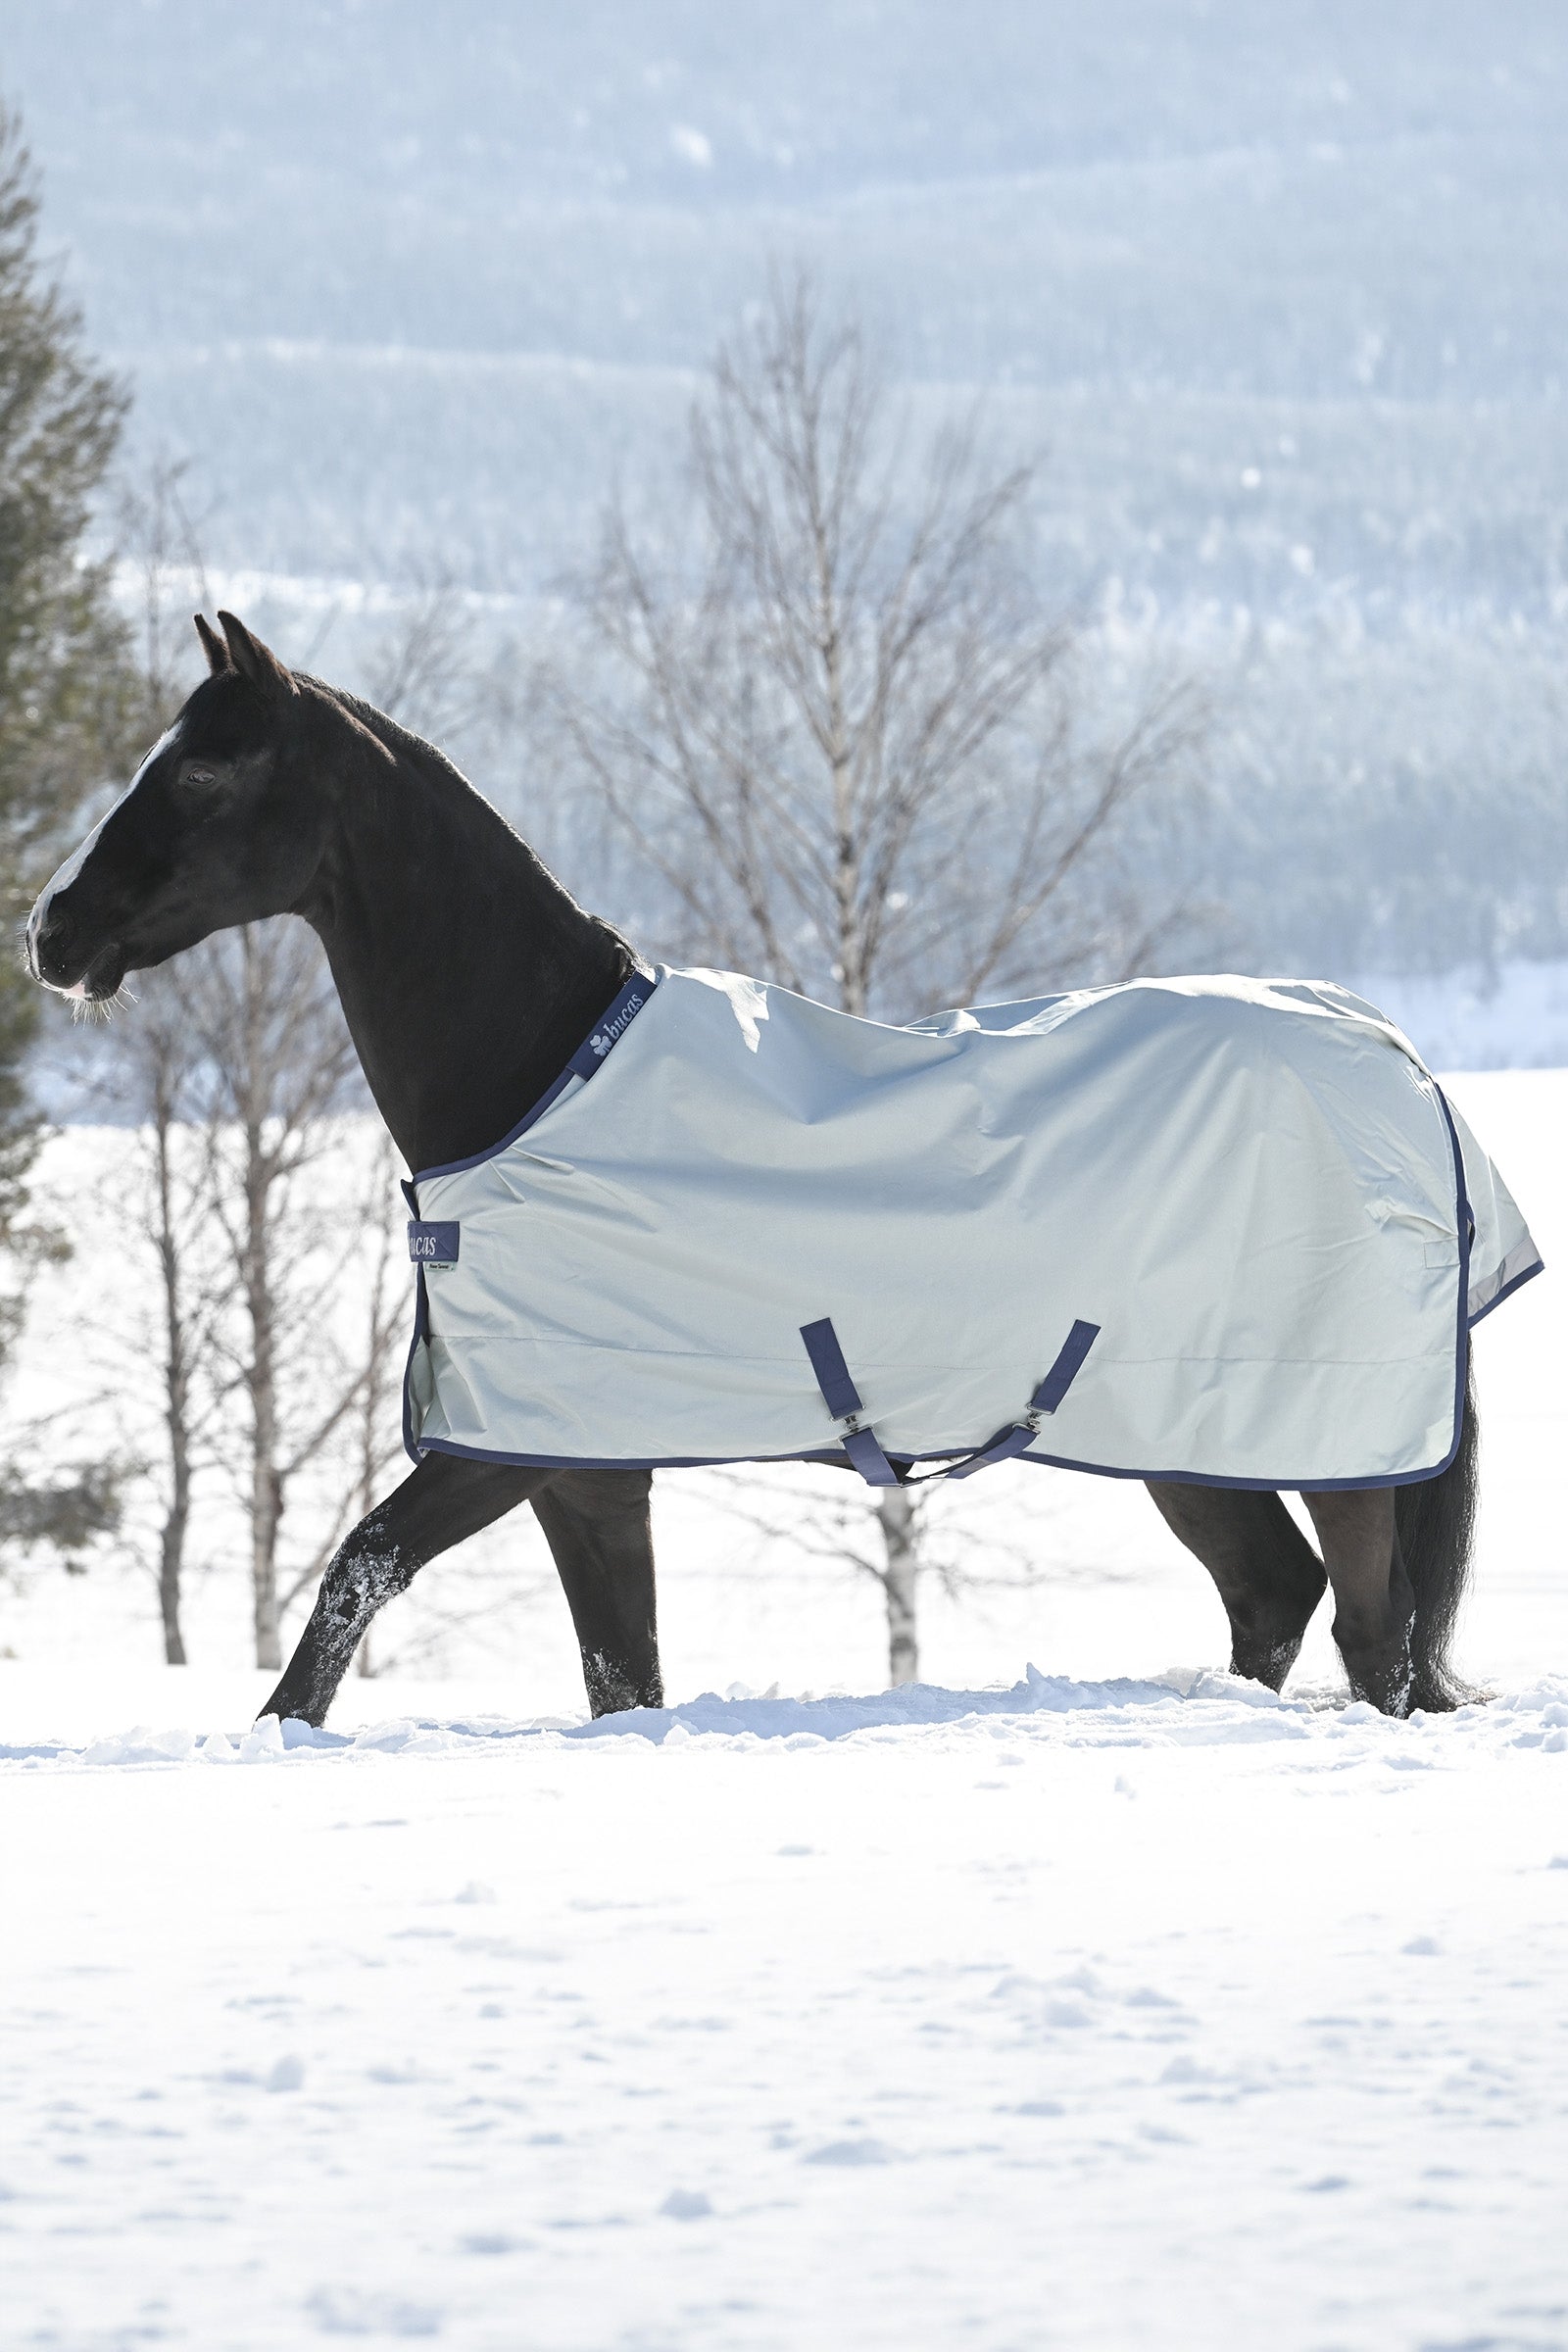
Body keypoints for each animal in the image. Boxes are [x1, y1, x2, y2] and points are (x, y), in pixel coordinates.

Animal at [26, 611, 1482, 1723]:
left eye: (203, 775)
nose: (53, 929)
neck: (537, 1072)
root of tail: (1396, 1063)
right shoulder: (581, 1471)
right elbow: (620, 1676)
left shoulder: (506, 1450)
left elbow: (356, 1572)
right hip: (1187, 1435)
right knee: (1275, 1596)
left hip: (1317, 1440)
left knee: (1364, 1629)